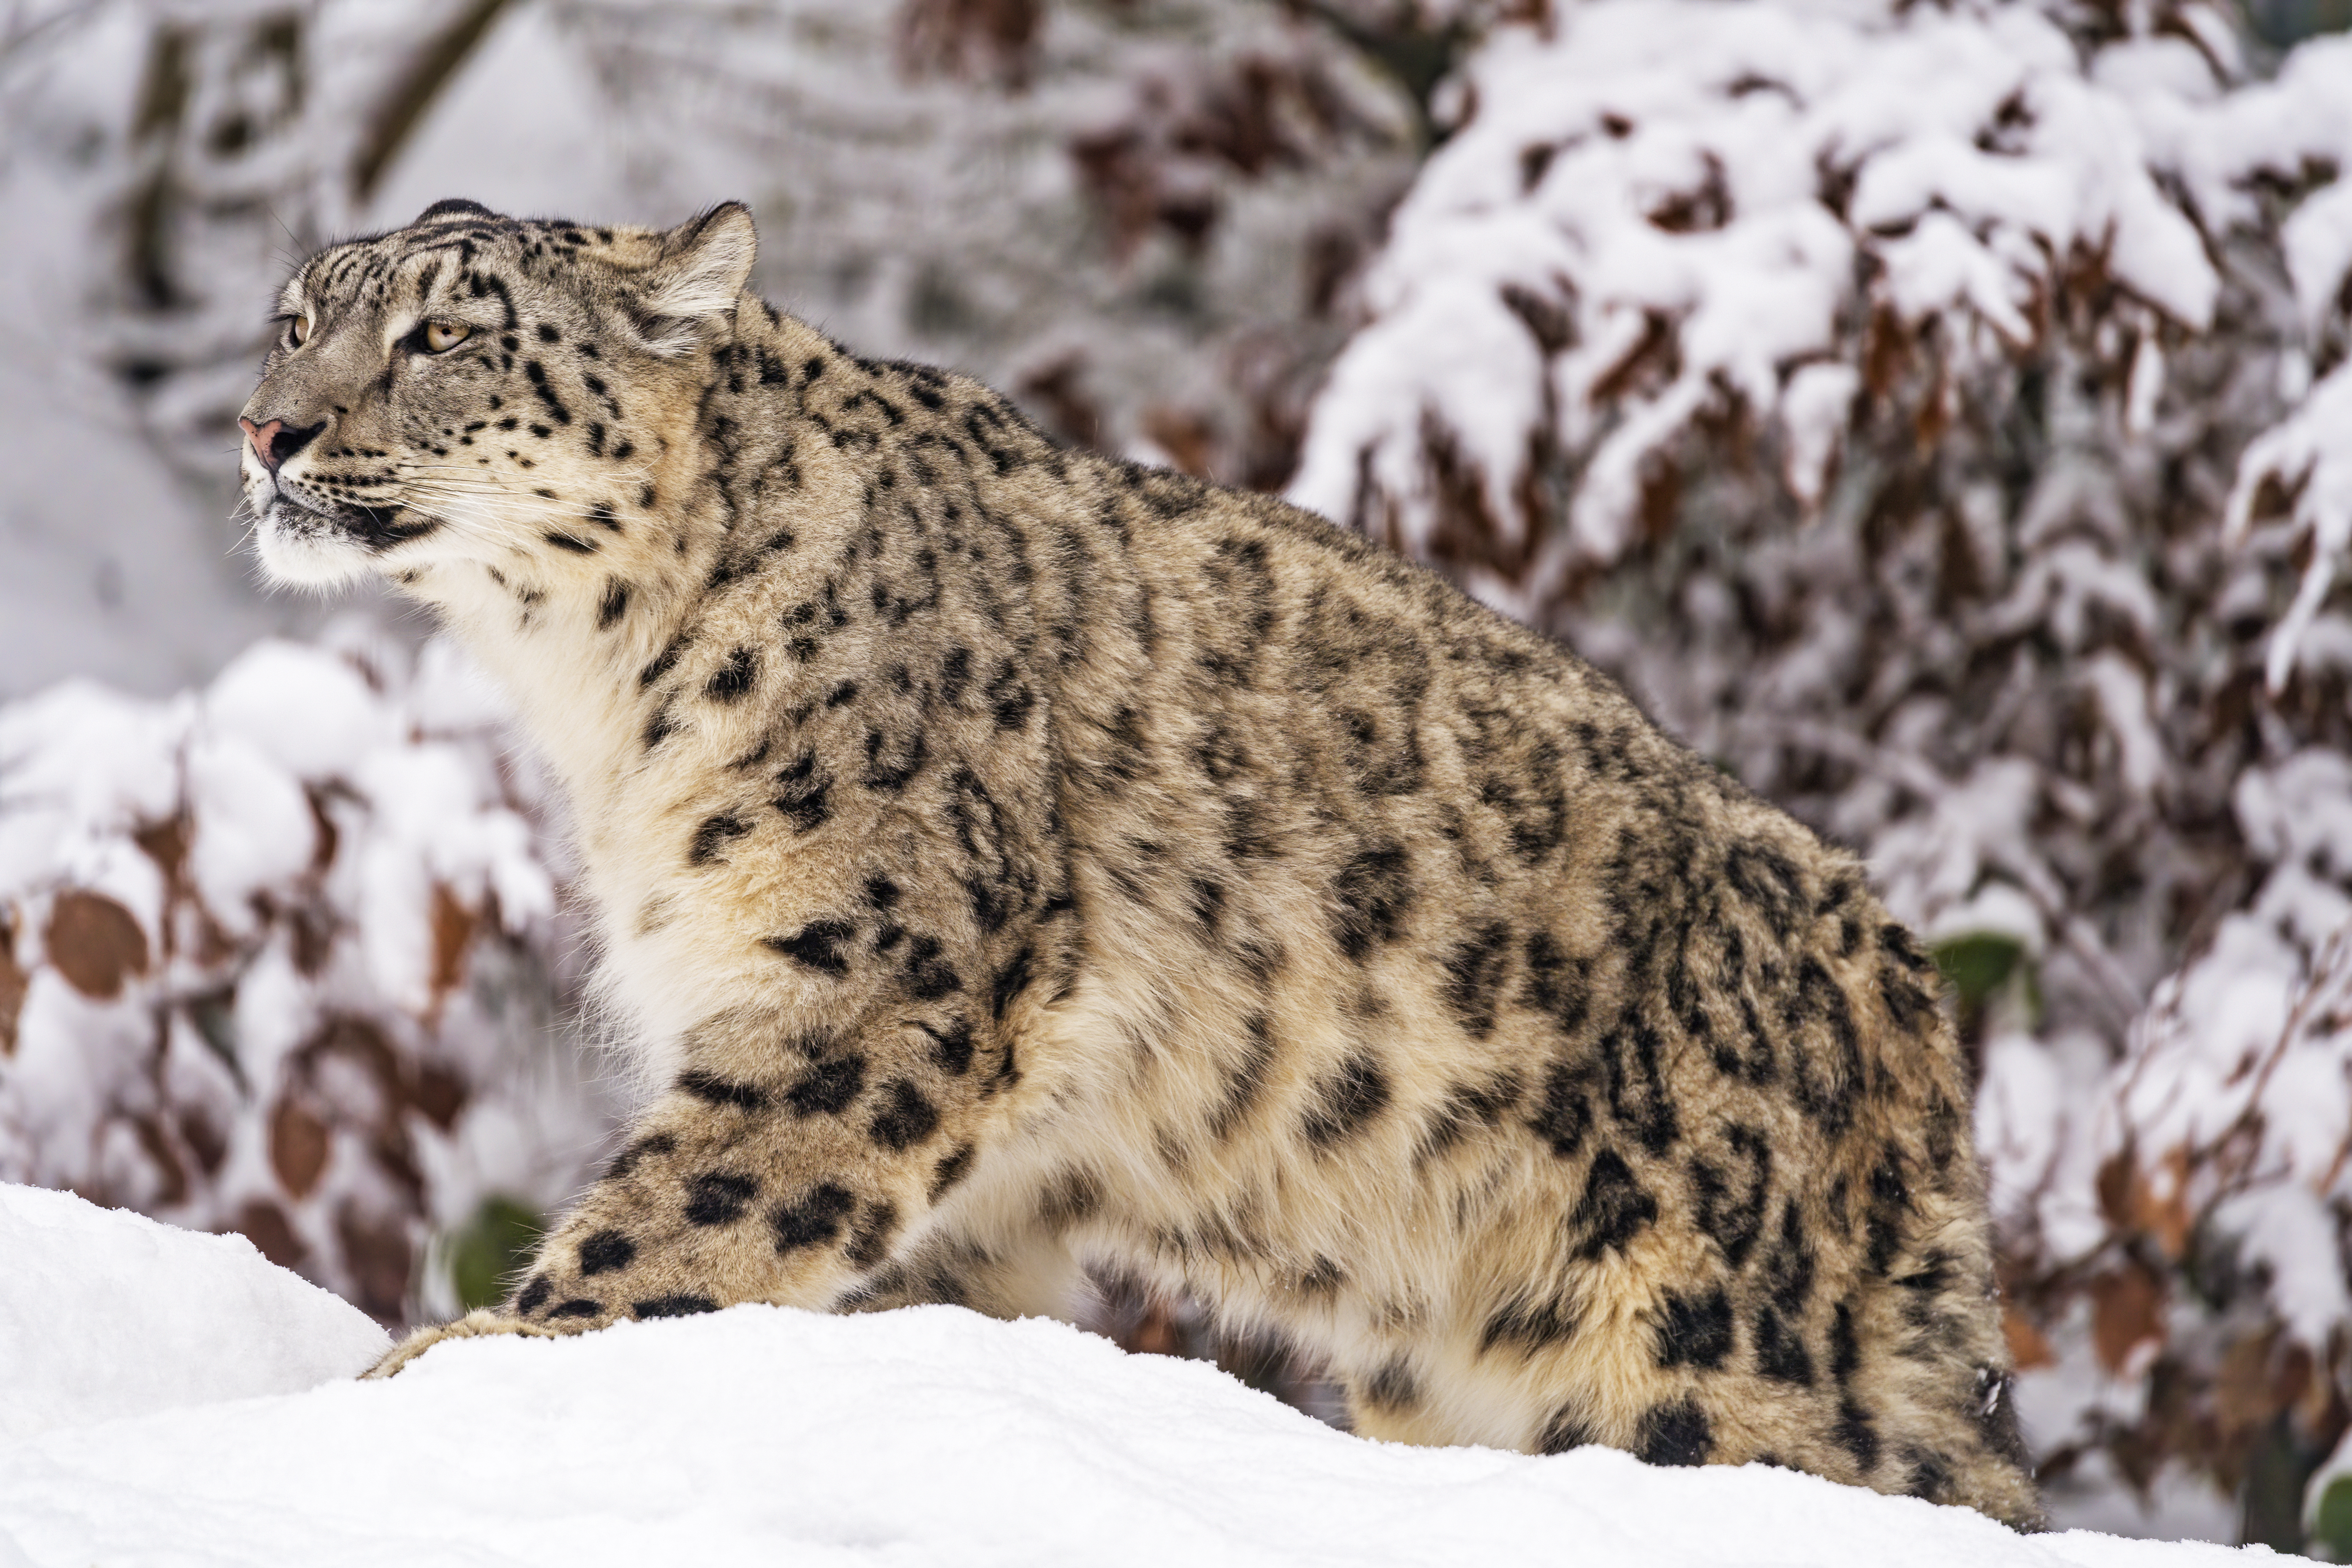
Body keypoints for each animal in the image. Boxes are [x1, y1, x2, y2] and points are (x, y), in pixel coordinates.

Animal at [237, 197, 2043, 1529]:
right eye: (296, 319)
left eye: (444, 334)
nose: (266, 431)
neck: (592, 699)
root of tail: (1903, 997)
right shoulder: (972, 1175)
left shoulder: (872, 979)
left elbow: (676, 1222)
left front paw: (438, 1374)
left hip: (1695, 1339)